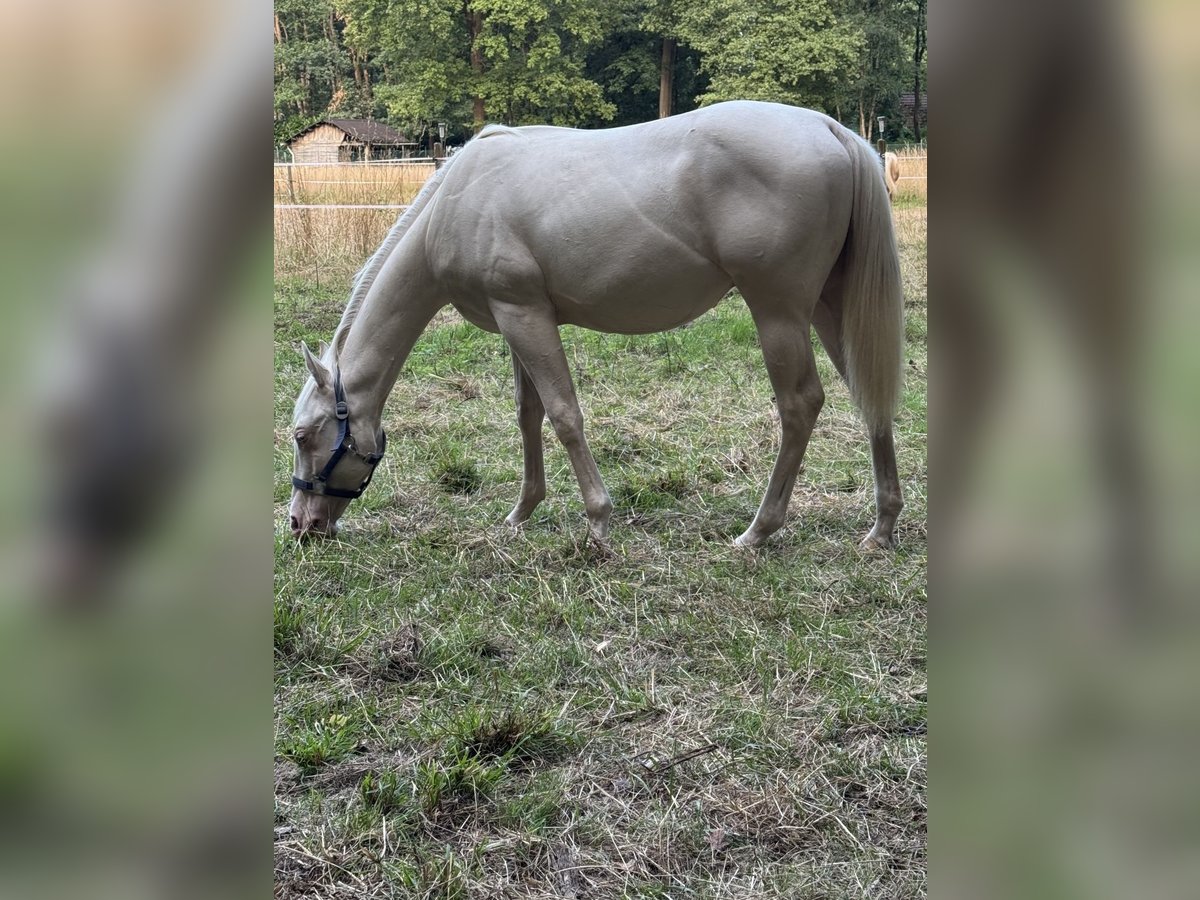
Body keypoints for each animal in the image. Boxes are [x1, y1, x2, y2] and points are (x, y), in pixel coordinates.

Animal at [288, 101, 904, 550]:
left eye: (300, 435)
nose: (301, 524)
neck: (455, 203)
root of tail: (831, 130)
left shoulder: (525, 316)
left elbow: (564, 415)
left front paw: (598, 521)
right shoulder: (517, 318)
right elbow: (529, 414)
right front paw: (521, 512)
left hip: (777, 313)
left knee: (800, 405)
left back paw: (758, 530)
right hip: (827, 308)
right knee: (869, 394)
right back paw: (882, 526)